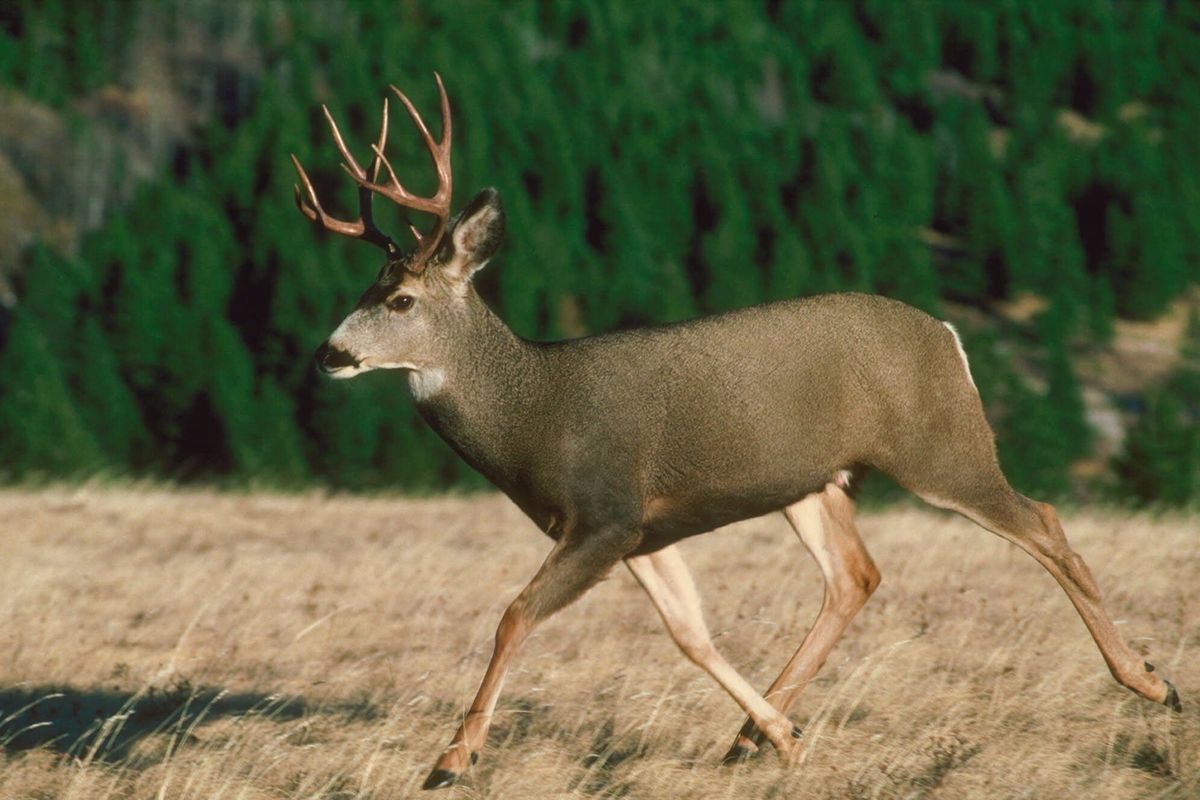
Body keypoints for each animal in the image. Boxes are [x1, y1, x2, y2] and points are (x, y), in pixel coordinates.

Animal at [292, 74, 1180, 786]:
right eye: (364, 289)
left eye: (400, 299)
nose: (328, 353)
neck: (533, 413)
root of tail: (947, 335)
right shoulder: (641, 532)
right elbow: (691, 634)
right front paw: (782, 735)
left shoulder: (605, 511)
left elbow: (515, 613)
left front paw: (452, 759)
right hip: (814, 480)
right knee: (855, 576)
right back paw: (750, 736)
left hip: (938, 443)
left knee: (1042, 522)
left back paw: (1151, 681)